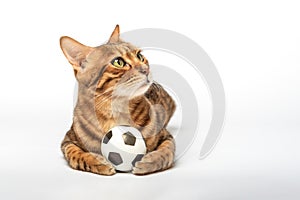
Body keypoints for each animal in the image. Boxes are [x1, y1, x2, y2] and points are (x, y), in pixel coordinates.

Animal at [59, 25, 176, 175]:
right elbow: (74, 154)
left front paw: (150, 161)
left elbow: (167, 151)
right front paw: (97, 161)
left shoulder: (166, 136)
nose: (146, 69)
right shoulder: (67, 140)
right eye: (118, 62)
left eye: (140, 56)